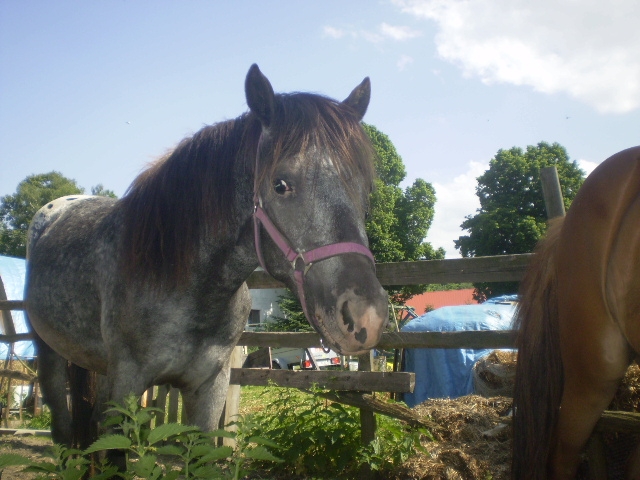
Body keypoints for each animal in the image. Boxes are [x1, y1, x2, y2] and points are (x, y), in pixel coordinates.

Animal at [24, 64, 389, 448]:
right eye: (280, 184)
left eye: (364, 188)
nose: (366, 316)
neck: (186, 288)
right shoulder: (125, 389)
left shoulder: (210, 388)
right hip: (49, 352)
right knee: (63, 425)